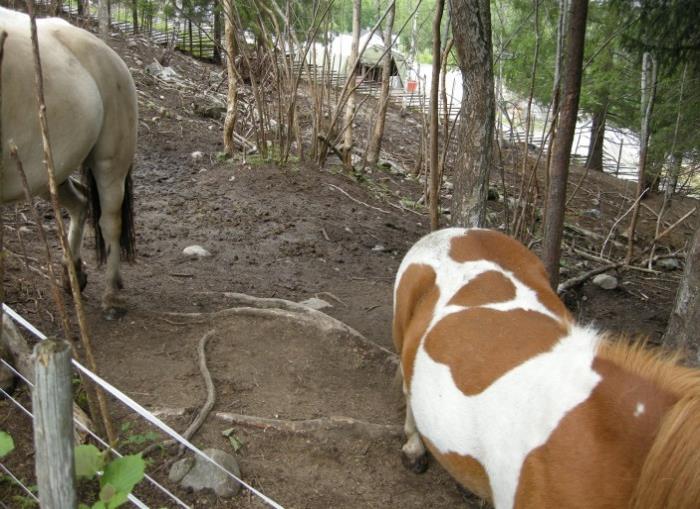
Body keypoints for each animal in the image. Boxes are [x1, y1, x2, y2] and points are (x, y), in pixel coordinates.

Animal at [0, 7, 137, 318]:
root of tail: (111, 56)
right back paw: (72, 272)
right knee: (80, 202)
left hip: (109, 165)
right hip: (48, 172)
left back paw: (111, 296)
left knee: (109, 221)